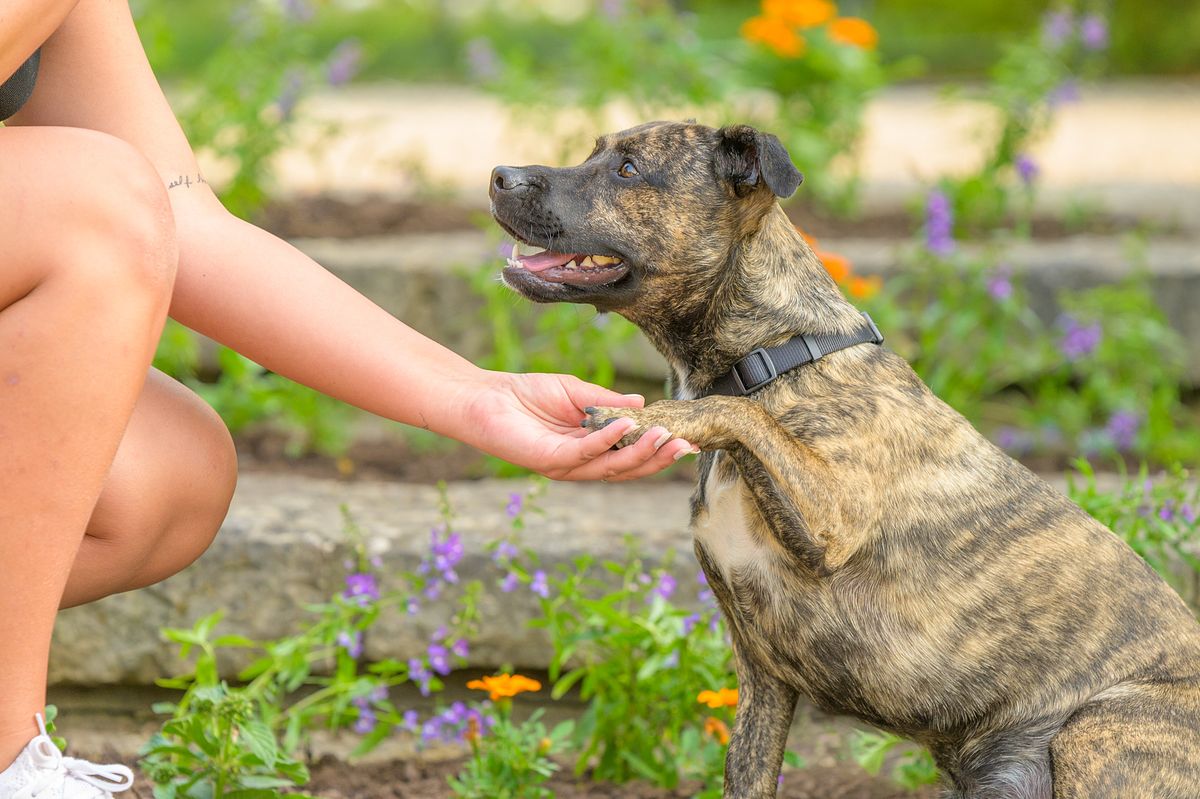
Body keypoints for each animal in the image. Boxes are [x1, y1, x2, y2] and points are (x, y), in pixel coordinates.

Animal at [489, 121, 1200, 798]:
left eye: (629, 169)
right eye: (596, 152)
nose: (499, 174)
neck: (776, 356)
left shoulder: (832, 516)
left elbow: (741, 415)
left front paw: (647, 418)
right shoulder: (763, 681)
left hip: (1099, 726)